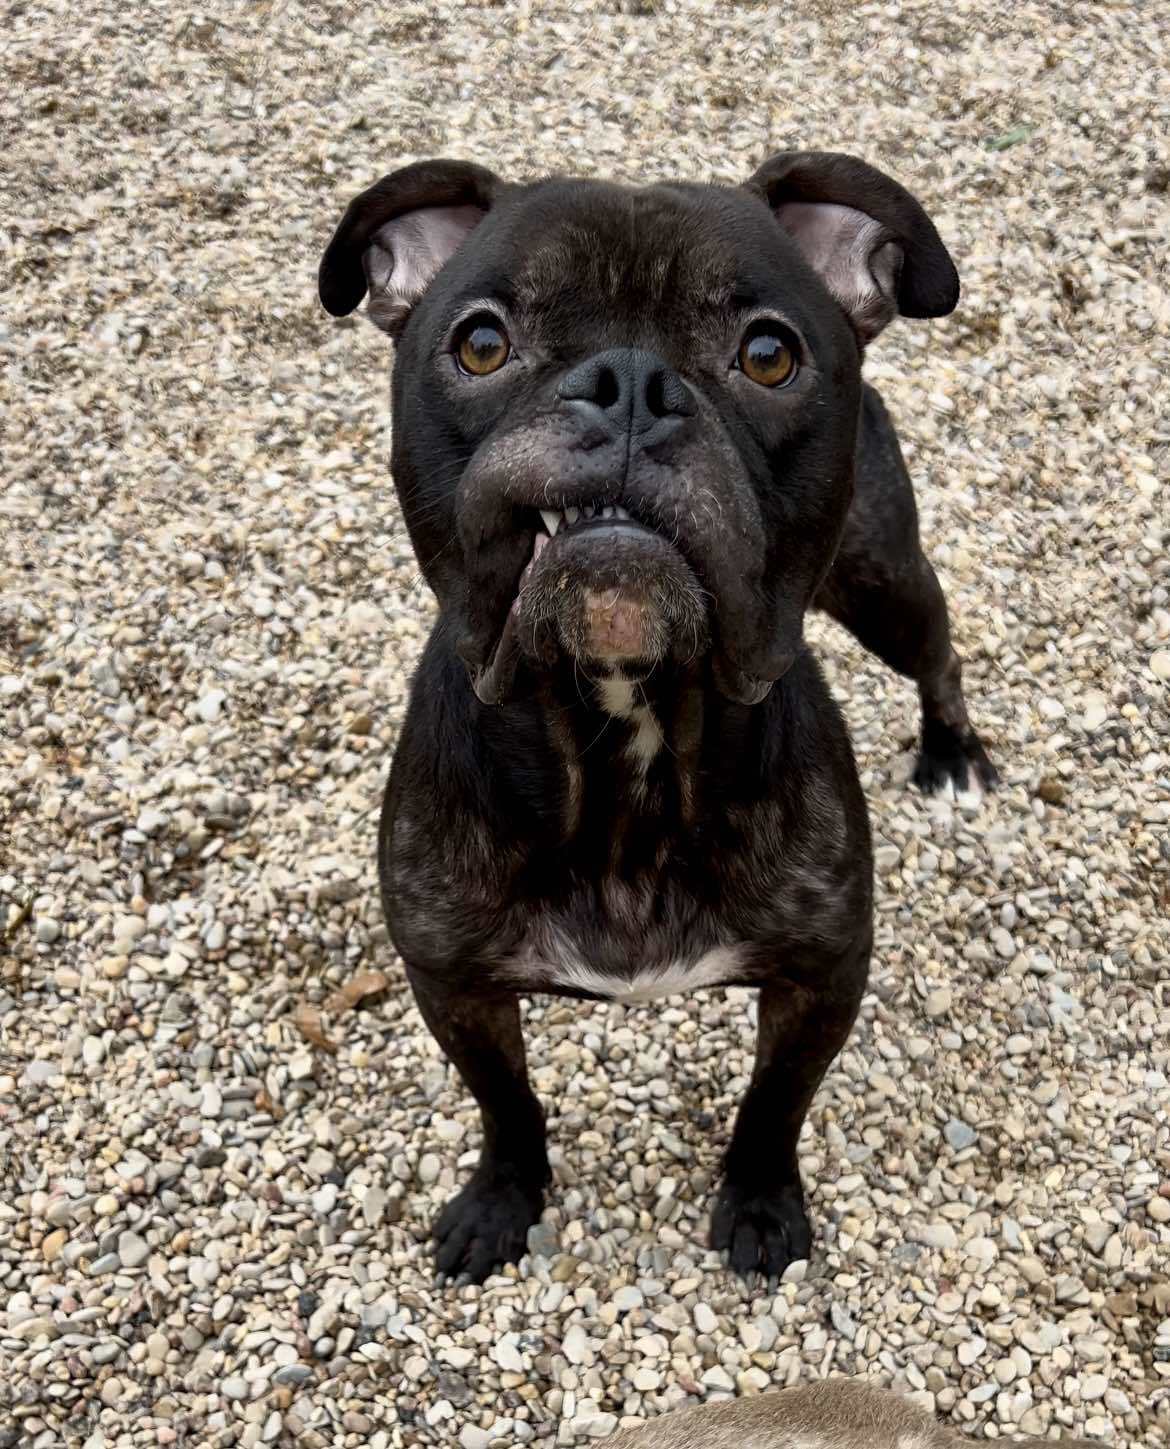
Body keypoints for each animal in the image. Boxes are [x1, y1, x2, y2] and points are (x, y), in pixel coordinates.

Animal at [320, 149, 997, 1280]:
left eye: (769, 354)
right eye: (481, 342)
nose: (630, 384)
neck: (622, 725)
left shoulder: (823, 977)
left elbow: (773, 1105)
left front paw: (761, 1206)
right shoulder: (452, 982)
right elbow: (506, 1102)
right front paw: (502, 1200)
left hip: (881, 581)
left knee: (936, 651)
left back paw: (953, 753)